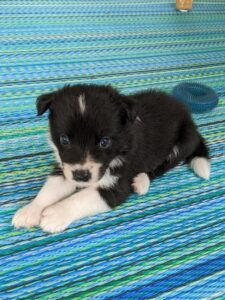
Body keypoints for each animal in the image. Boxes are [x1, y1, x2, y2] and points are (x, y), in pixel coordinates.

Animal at [12, 83, 209, 233]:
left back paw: (141, 181)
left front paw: (55, 214)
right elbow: (50, 188)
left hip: (183, 143)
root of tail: (190, 117)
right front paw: (30, 211)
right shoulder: (65, 167)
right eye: (64, 140)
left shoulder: (117, 185)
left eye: (104, 142)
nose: (81, 176)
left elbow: (81, 198)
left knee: (161, 166)